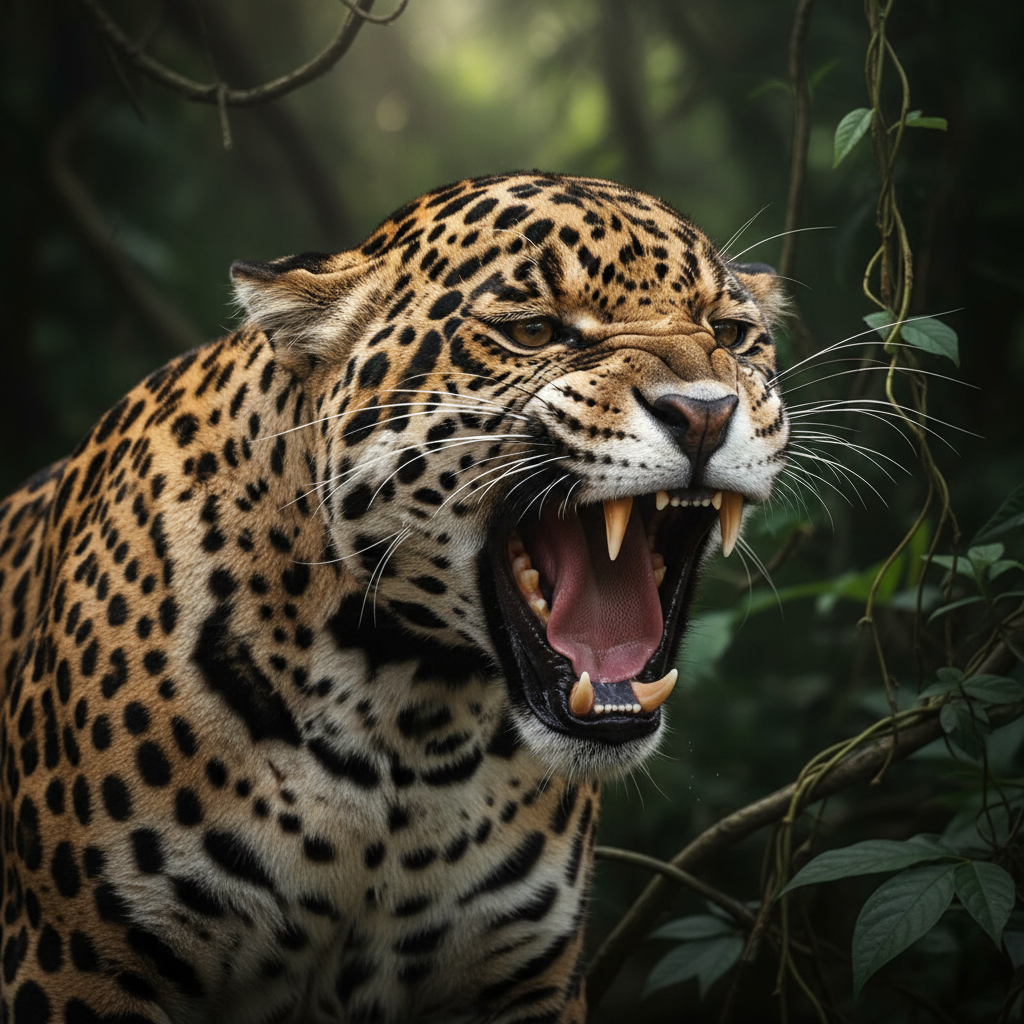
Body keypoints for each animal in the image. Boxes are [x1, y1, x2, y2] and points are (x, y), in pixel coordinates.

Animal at [0, 171, 788, 1024]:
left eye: (732, 334)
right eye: (535, 331)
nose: (704, 413)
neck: (406, 727)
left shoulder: (522, 981)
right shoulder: (81, 961)